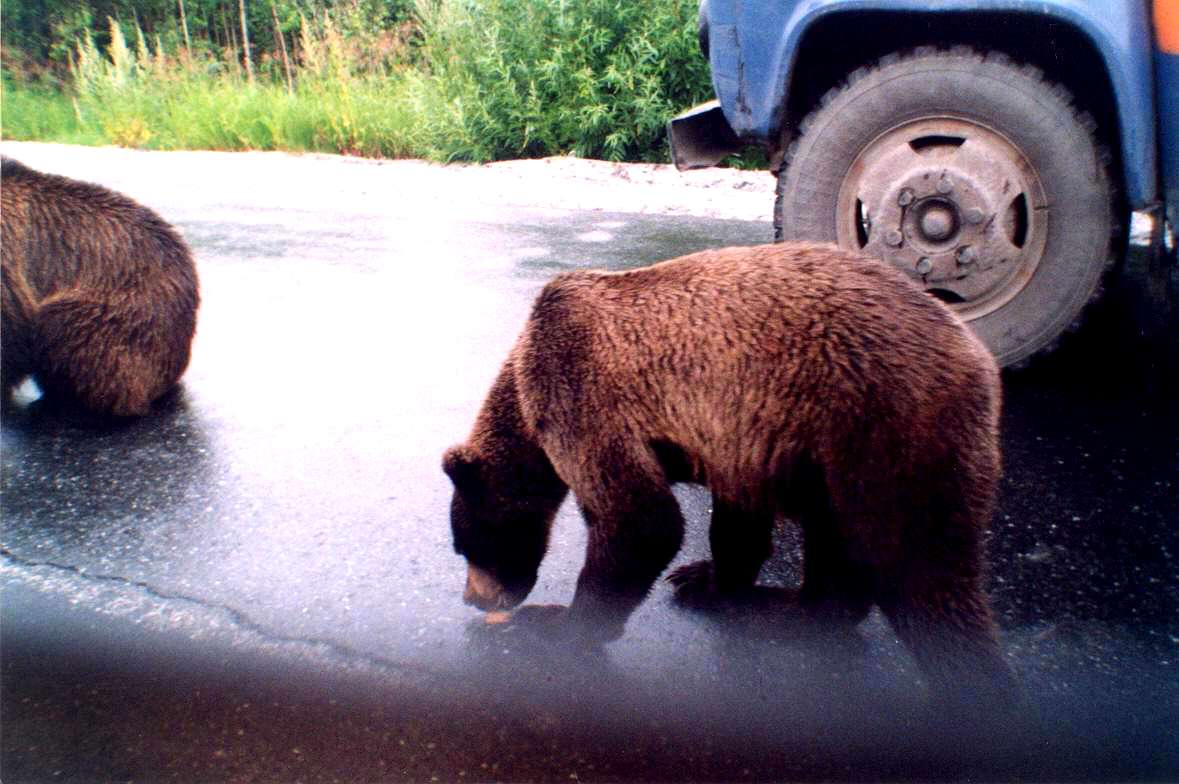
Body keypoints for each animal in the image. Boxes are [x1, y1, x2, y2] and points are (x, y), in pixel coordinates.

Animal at [445, 241, 1018, 697]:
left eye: (465, 544)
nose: (472, 599)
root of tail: (976, 355)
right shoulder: (740, 439)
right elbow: (736, 522)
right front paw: (703, 578)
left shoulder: (582, 389)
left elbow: (641, 520)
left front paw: (554, 624)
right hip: (832, 454)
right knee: (839, 542)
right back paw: (790, 608)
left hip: (890, 429)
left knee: (922, 569)